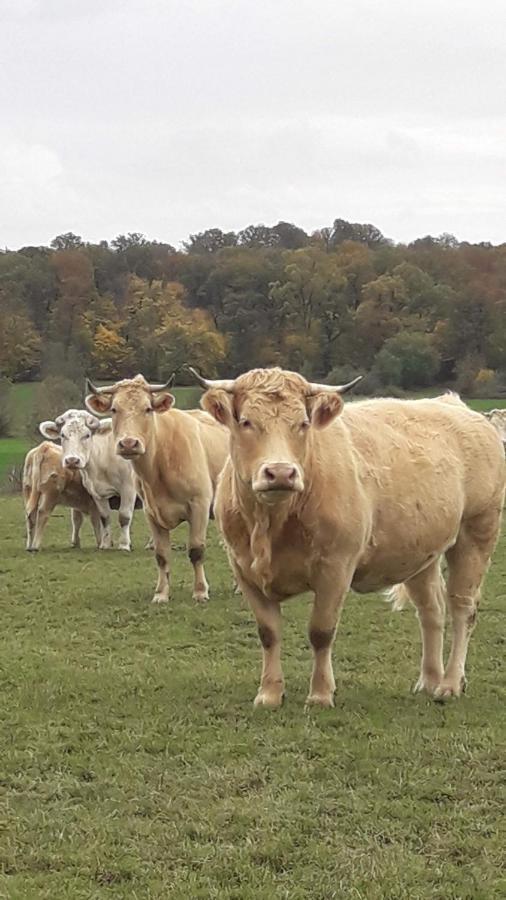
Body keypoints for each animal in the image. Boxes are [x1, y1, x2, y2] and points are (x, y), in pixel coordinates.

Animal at [39, 412, 137, 552]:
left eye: (87, 435)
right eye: (62, 435)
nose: (72, 460)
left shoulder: (128, 488)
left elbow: (124, 517)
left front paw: (124, 545)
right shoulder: (97, 493)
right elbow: (105, 517)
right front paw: (105, 544)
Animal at [85, 372, 229, 604]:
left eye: (147, 408)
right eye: (114, 409)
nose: (128, 444)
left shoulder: (199, 505)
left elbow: (196, 550)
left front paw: (200, 591)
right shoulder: (151, 512)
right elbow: (161, 555)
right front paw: (161, 593)